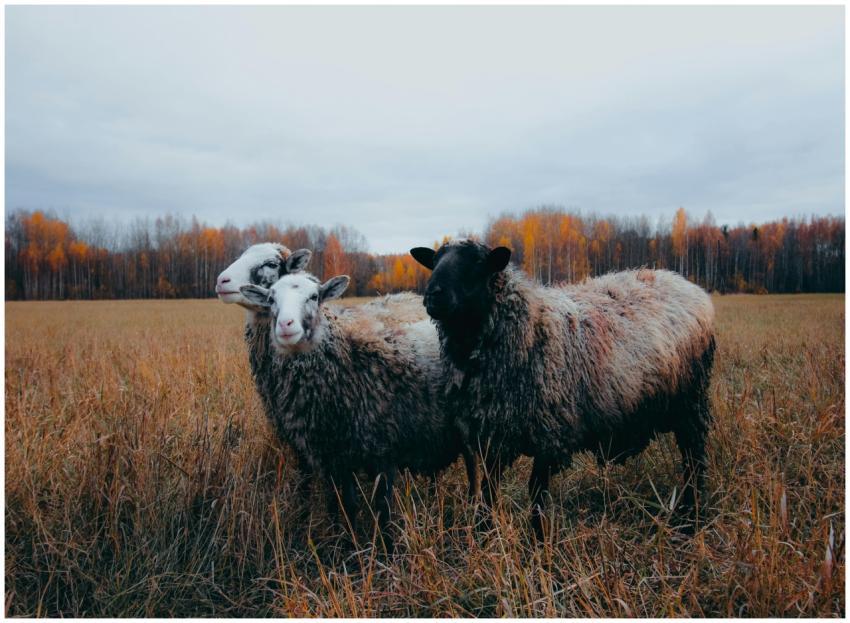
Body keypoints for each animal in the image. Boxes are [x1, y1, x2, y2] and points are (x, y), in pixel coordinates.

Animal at [240, 272, 474, 549]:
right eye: (270, 299)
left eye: (314, 297)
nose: (286, 326)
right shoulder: (337, 458)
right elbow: (348, 504)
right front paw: (351, 544)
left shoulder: (383, 450)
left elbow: (382, 508)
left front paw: (387, 549)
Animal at [410, 239, 716, 536]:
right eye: (434, 261)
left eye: (477, 264)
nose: (433, 295)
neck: (527, 328)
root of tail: (681, 280)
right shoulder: (495, 434)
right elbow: (489, 488)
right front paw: (484, 533)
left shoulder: (550, 432)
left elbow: (536, 492)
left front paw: (538, 540)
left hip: (691, 401)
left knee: (694, 459)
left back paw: (690, 516)